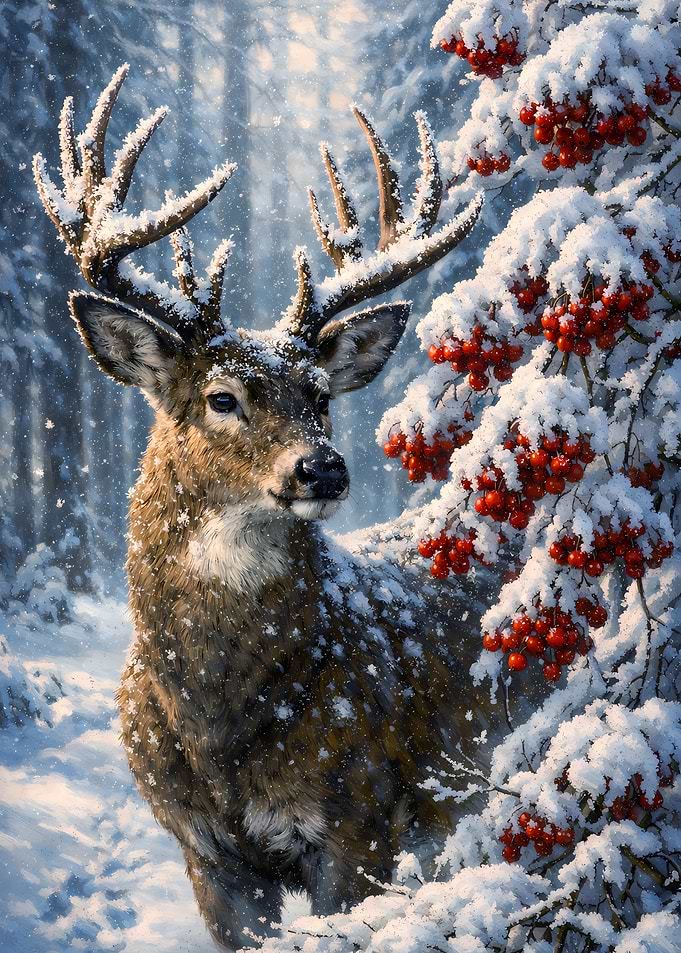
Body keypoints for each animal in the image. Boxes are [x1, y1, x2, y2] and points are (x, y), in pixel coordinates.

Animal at [34, 66, 491, 950]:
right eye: (222, 397)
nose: (323, 468)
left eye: (319, 394)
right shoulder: (203, 850)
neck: (220, 722)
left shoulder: (358, 821)